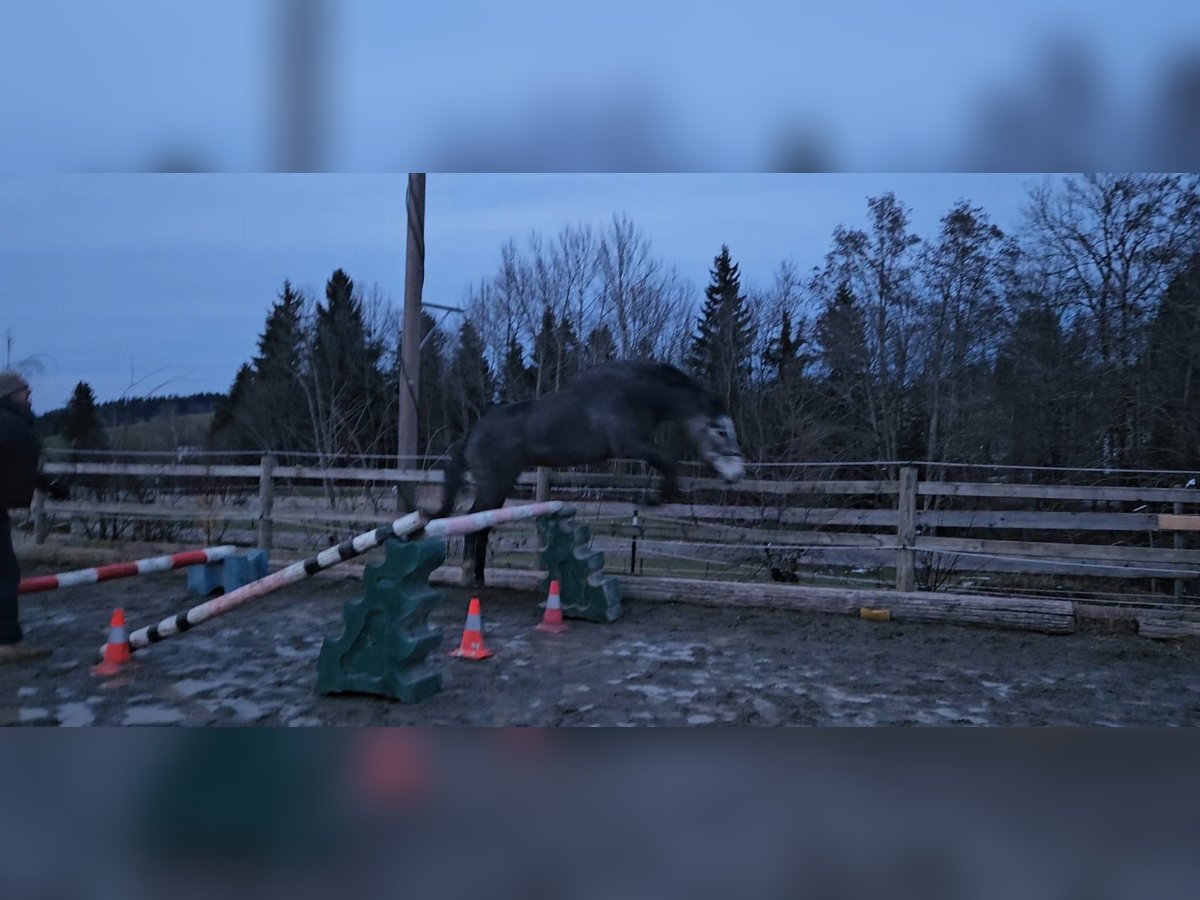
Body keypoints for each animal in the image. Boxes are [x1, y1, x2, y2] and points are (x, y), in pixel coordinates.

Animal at [436, 362, 744, 588]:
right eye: (720, 430)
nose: (737, 474)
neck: (634, 394)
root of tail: (472, 433)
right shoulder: (629, 444)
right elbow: (669, 463)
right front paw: (653, 498)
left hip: (501, 485)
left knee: (483, 524)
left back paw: (478, 577)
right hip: (493, 483)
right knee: (475, 519)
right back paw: (469, 576)